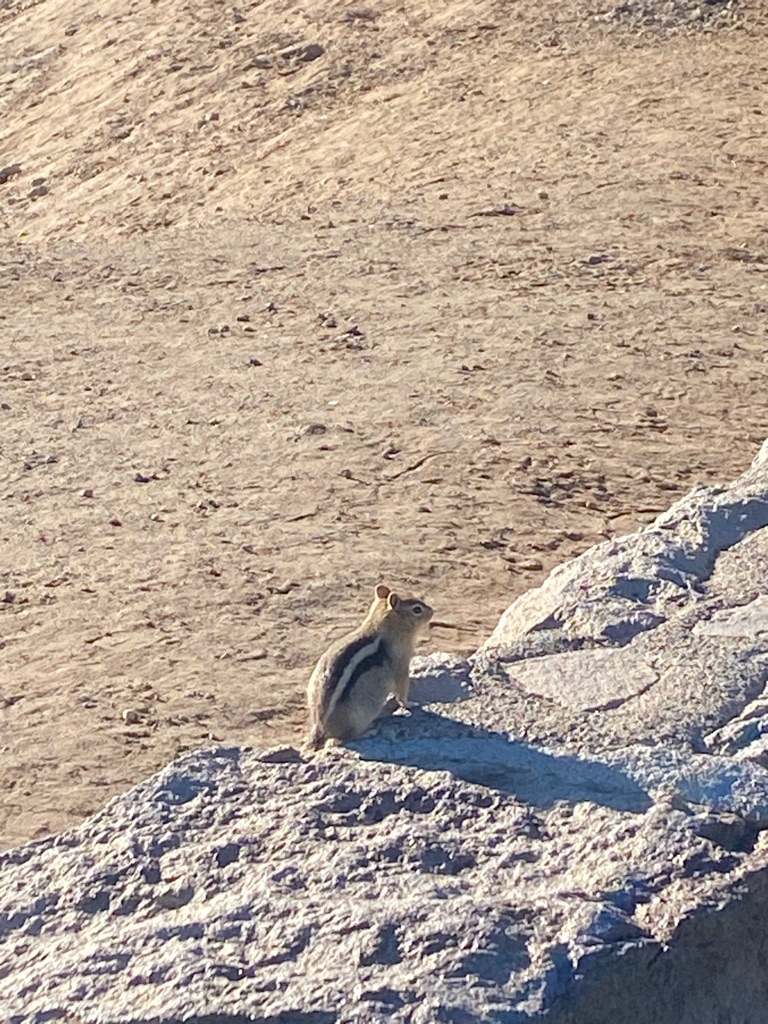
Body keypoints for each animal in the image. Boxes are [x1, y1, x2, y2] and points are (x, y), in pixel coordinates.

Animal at [305, 583, 433, 751]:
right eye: (417, 609)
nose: (432, 611)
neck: (381, 626)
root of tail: (320, 729)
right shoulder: (402, 664)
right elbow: (402, 691)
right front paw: (411, 704)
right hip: (359, 716)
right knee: (346, 738)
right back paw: (368, 732)